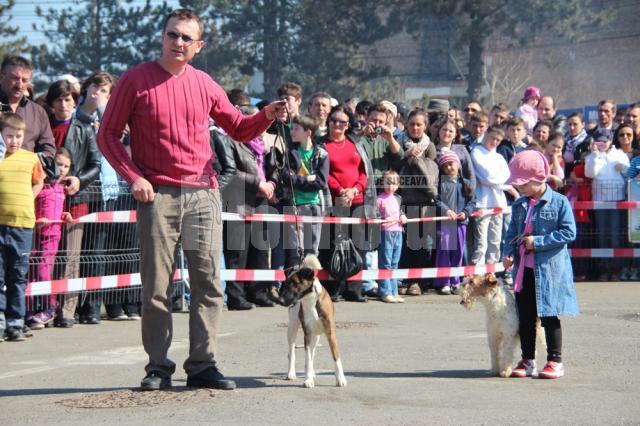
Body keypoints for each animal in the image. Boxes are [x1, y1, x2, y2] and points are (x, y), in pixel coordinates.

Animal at [278, 255, 348, 388]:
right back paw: (291, 373)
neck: (309, 300)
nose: (281, 300)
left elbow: (336, 358)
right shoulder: (307, 334)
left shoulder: (330, 333)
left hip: (316, 336)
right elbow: (307, 358)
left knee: (312, 353)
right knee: (292, 353)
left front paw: (340, 378)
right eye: (286, 283)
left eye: (295, 283)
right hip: (292, 328)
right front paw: (308, 380)